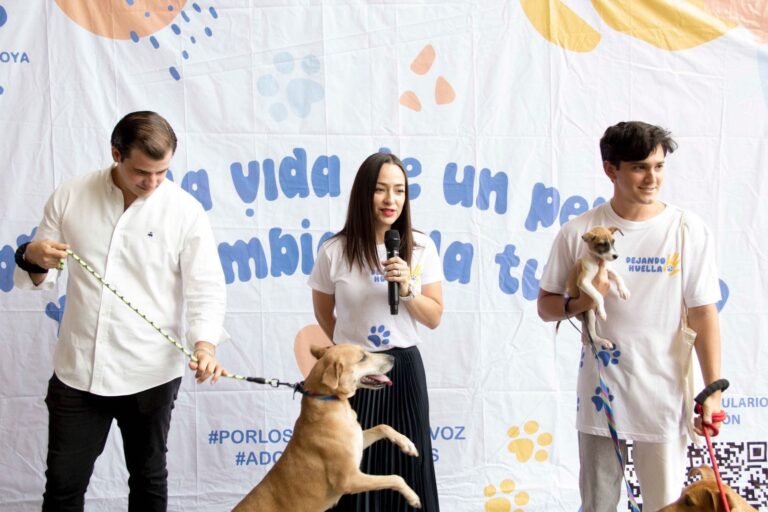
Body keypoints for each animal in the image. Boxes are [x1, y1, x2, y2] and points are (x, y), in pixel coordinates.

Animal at [236, 344, 424, 512]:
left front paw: (407, 445)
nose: (393, 358)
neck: (333, 403)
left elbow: (382, 426)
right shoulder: (349, 479)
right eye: (362, 357)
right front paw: (413, 497)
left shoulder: (358, 440)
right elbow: (396, 477)